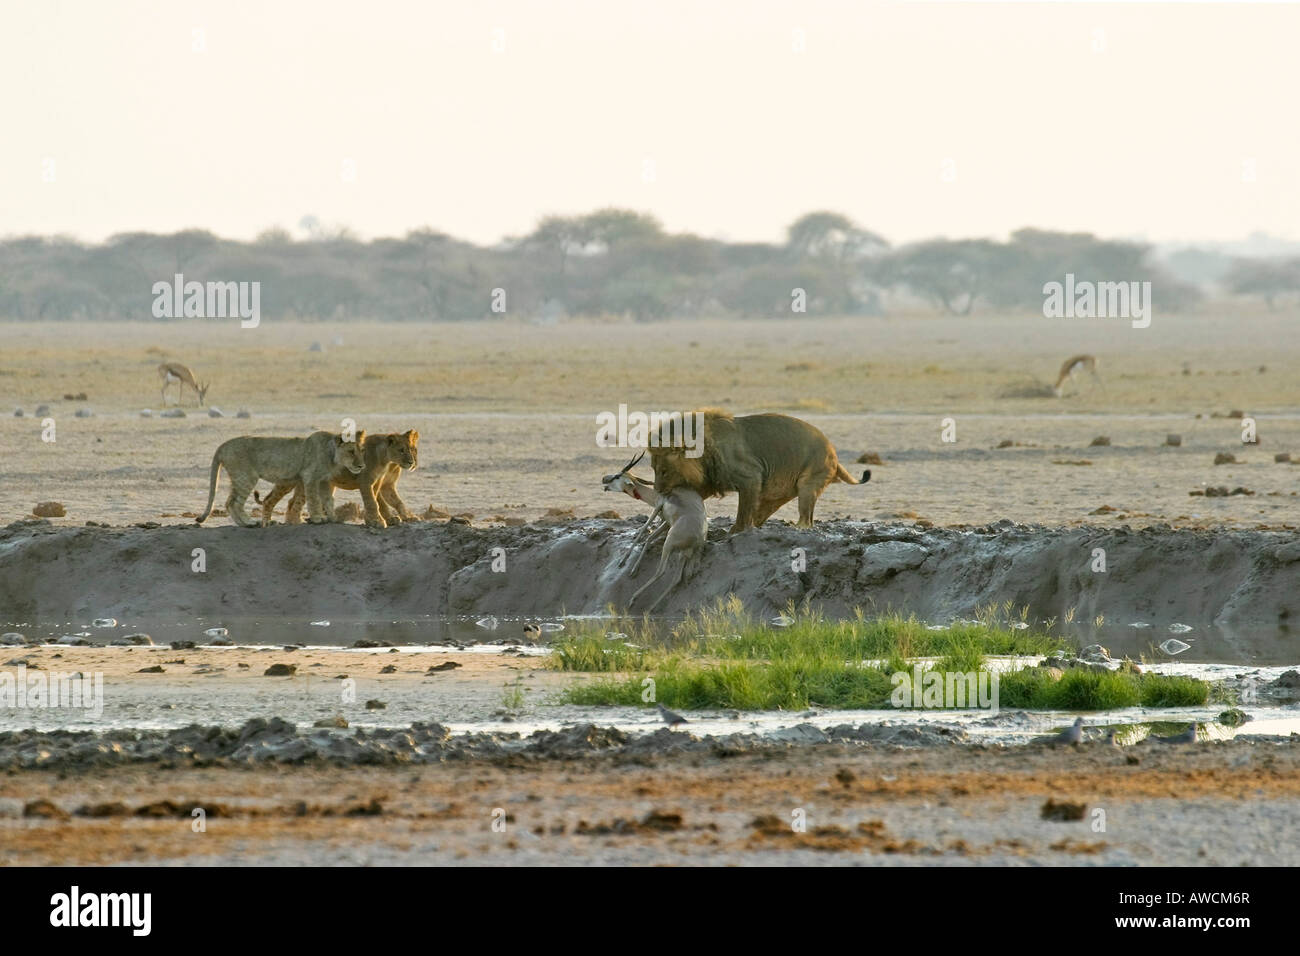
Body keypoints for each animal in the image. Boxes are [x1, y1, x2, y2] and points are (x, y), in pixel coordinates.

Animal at [644, 408, 868, 535]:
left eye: (664, 471)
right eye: (654, 469)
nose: (658, 489)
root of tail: (835, 454)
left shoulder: (751, 476)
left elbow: (743, 510)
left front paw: (736, 530)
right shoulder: (710, 481)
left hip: (809, 483)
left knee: (807, 519)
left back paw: (797, 527)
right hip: (776, 494)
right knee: (765, 512)